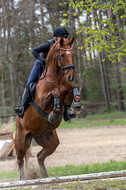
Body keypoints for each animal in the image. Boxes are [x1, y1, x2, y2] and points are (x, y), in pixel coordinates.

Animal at [14, 36, 79, 180]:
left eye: (72, 54)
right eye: (62, 55)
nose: (70, 76)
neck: (56, 78)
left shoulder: (67, 95)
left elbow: (72, 88)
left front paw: (76, 104)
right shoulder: (43, 101)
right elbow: (55, 93)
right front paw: (53, 113)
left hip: (49, 140)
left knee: (40, 156)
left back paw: (45, 176)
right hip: (21, 140)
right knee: (20, 159)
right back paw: (22, 179)